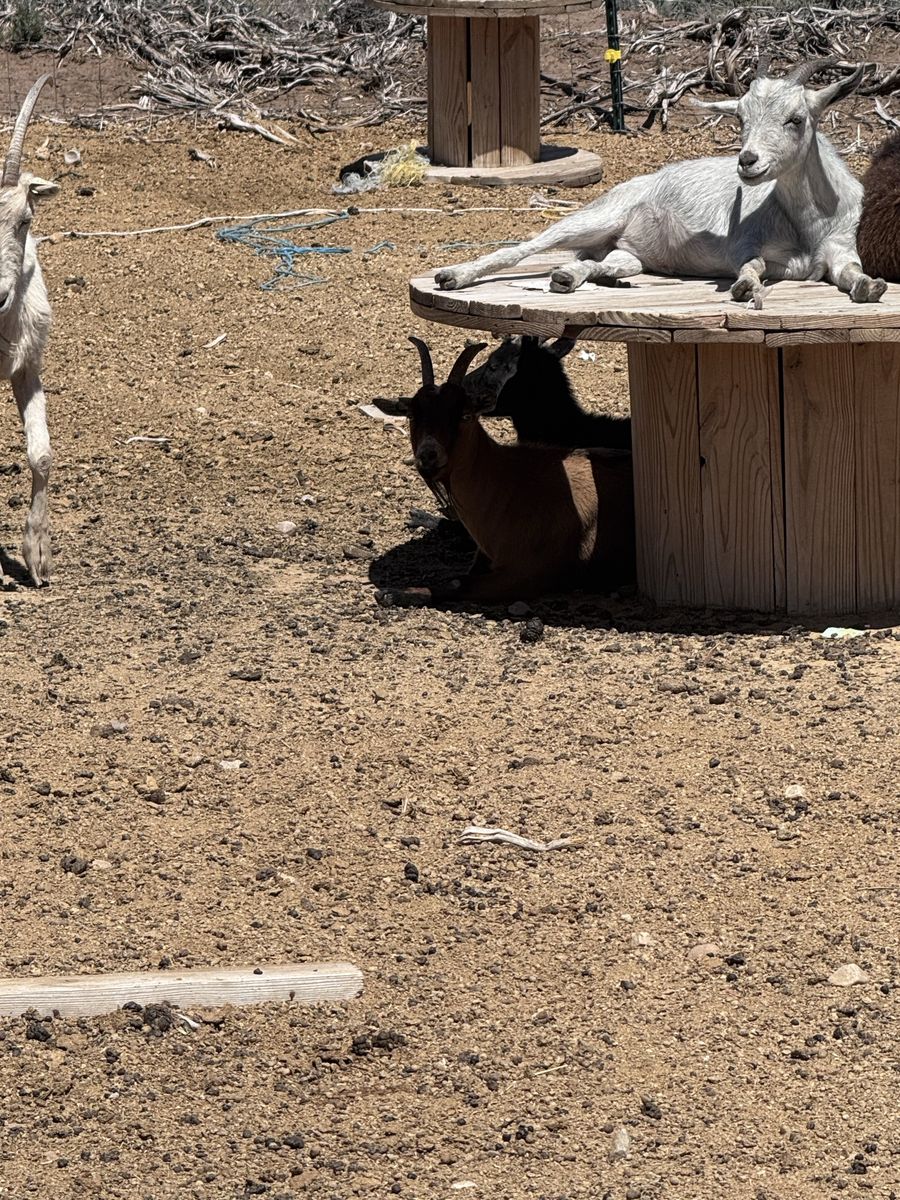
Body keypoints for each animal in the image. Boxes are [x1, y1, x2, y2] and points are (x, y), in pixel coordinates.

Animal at [434, 59, 885, 308]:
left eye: (796, 119)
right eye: (740, 117)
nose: (747, 162)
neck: (807, 227)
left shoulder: (841, 250)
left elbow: (852, 275)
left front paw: (871, 286)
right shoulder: (746, 245)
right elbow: (751, 266)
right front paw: (746, 288)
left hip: (628, 251)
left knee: (606, 262)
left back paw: (569, 276)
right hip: (597, 216)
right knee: (521, 249)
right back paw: (452, 276)